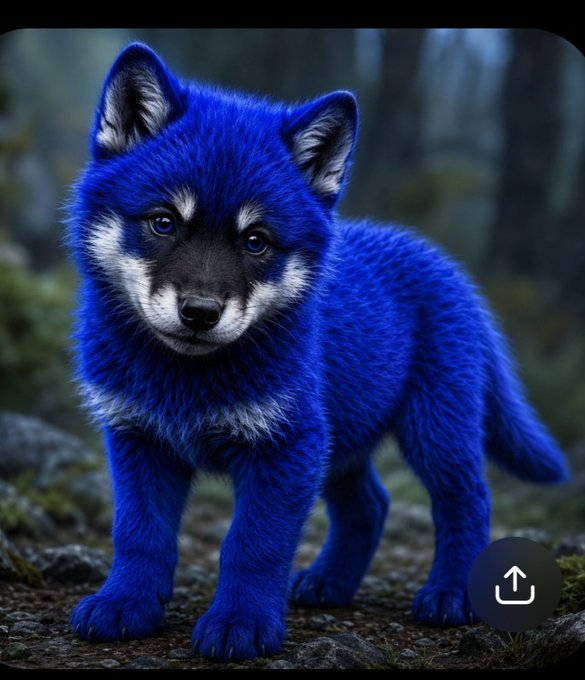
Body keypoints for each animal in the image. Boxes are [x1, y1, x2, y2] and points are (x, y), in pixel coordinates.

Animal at [67, 43, 569, 661]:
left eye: (256, 241)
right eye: (163, 222)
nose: (200, 313)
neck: (186, 379)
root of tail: (442, 264)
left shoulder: (285, 447)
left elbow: (252, 544)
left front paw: (240, 623)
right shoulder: (139, 440)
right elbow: (139, 535)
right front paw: (125, 604)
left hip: (434, 432)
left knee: (466, 501)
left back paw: (451, 595)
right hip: (343, 443)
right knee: (370, 507)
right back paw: (329, 583)